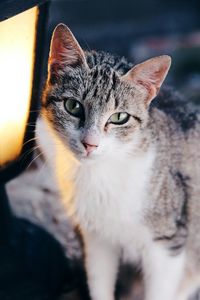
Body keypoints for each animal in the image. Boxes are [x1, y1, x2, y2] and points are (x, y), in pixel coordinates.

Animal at [36, 24, 200, 300]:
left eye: (119, 117)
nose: (90, 144)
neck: (99, 175)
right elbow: (99, 281)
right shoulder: (97, 239)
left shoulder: (166, 245)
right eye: (72, 106)